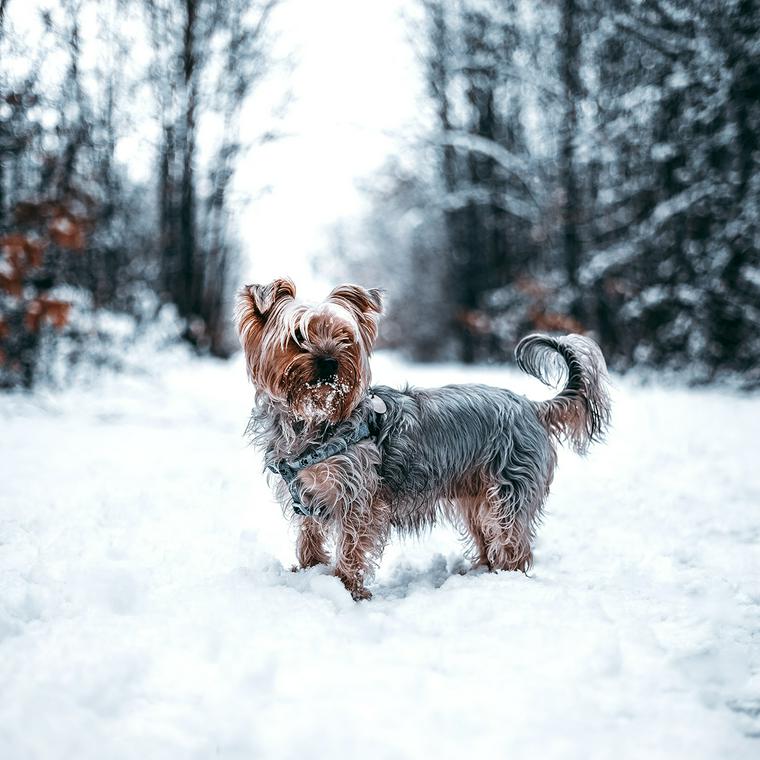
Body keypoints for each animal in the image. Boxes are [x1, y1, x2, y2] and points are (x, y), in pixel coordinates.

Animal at [238, 280, 612, 600]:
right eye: (298, 336)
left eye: (344, 338)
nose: (331, 362)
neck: (314, 420)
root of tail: (532, 406)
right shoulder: (306, 494)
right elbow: (309, 536)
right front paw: (309, 571)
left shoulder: (357, 497)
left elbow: (352, 545)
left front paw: (347, 588)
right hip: (475, 495)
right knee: (487, 536)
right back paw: (480, 573)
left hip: (508, 490)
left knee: (511, 540)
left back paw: (506, 580)